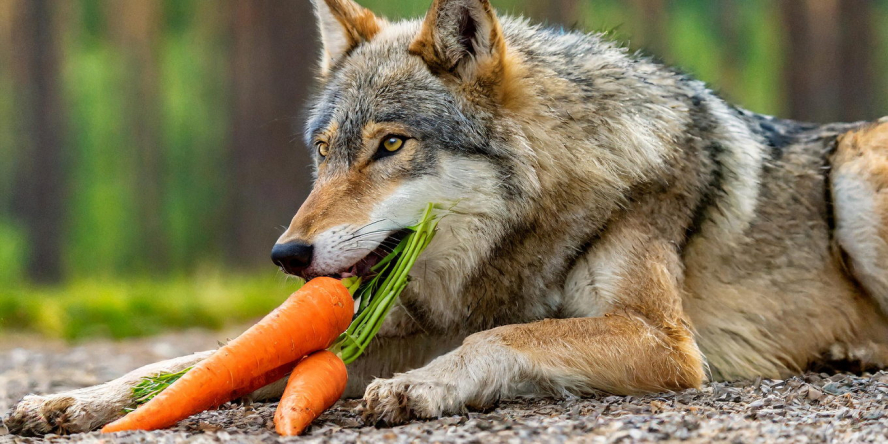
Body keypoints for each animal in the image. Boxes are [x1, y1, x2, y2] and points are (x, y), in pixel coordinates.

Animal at [6, 0, 888, 434]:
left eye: (391, 145)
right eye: (323, 152)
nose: (287, 255)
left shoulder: (662, 341)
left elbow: (506, 338)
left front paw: (420, 390)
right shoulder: (402, 325)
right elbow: (205, 361)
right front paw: (74, 402)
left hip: (854, 176)